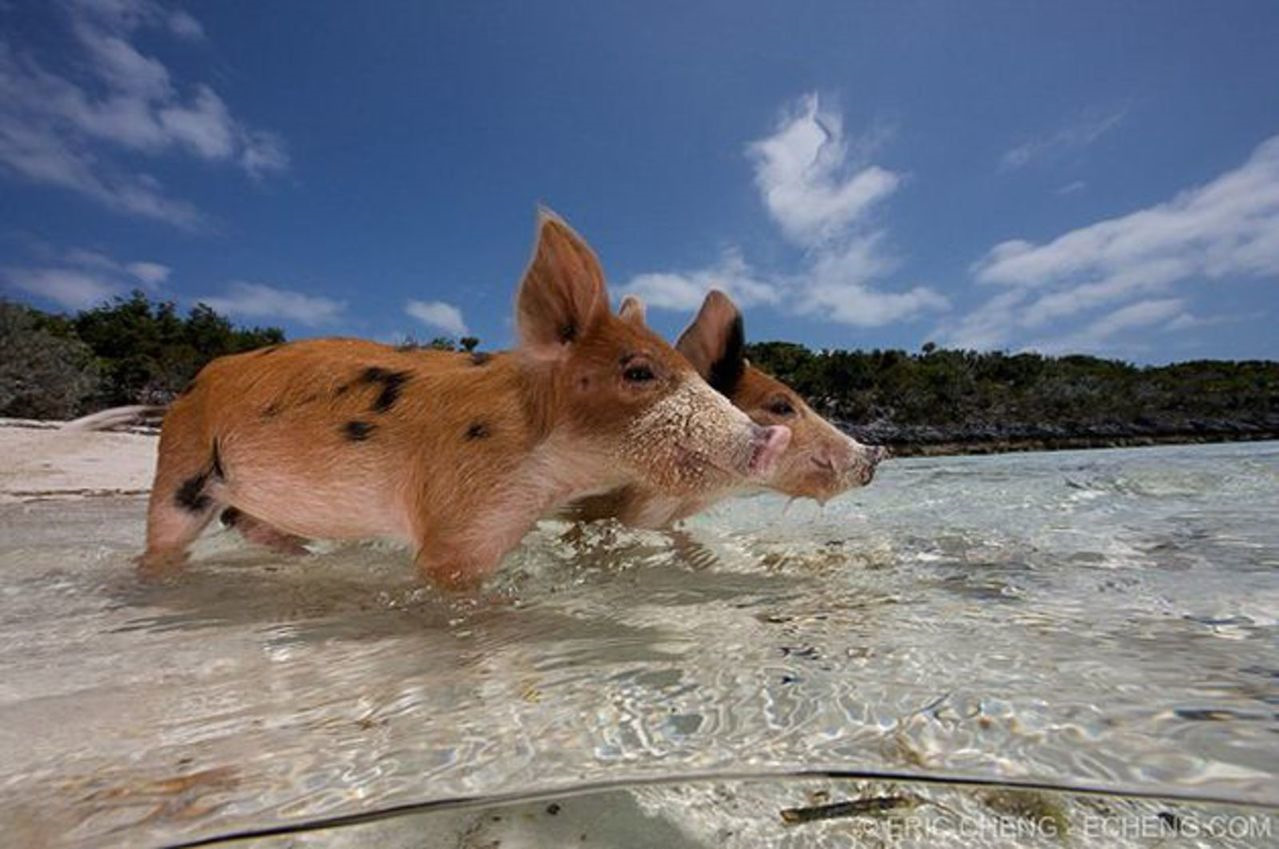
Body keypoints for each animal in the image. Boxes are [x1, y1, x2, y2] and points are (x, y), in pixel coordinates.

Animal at [87, 208, 787, 588]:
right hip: (181, 472)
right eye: (639, 372)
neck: (546, 474)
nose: (772, 436)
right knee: (166, 541)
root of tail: (185, 392)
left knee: (243, 521)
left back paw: (304, 555)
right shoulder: (457, 520)